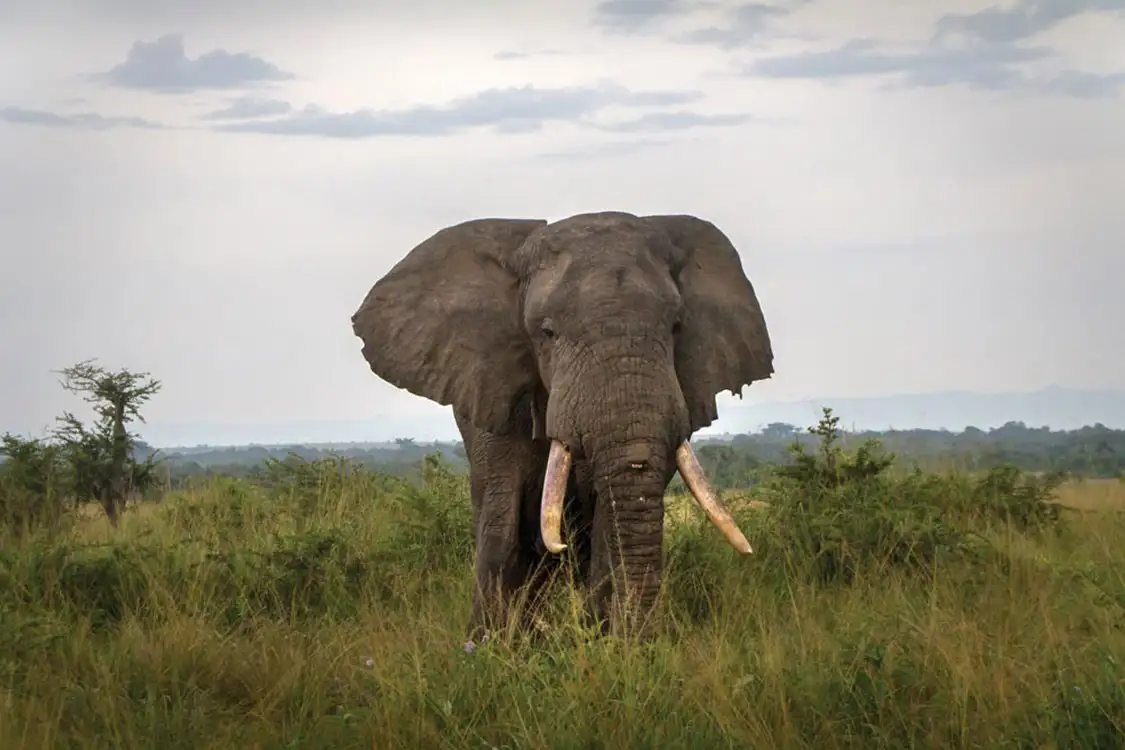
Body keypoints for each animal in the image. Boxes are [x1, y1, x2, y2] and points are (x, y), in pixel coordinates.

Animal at [351, 211, 773, 640]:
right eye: (547, 332)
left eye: (675, 326)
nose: (638, 641)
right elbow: (504, 509)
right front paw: (489, 645)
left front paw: (607, 641)